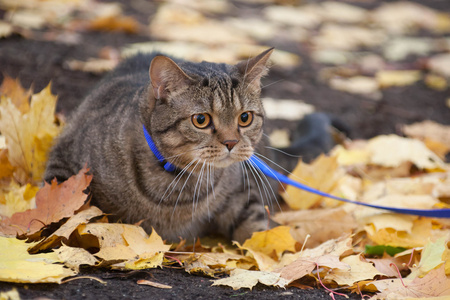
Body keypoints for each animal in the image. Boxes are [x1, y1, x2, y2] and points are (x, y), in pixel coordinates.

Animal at [43, 48, 338, 243]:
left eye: (245, 118)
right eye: (201, 120)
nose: (231, 142)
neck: (177, 181)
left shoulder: (244, 189)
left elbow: (257, 230)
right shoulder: (65, 156)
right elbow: (60, 209)